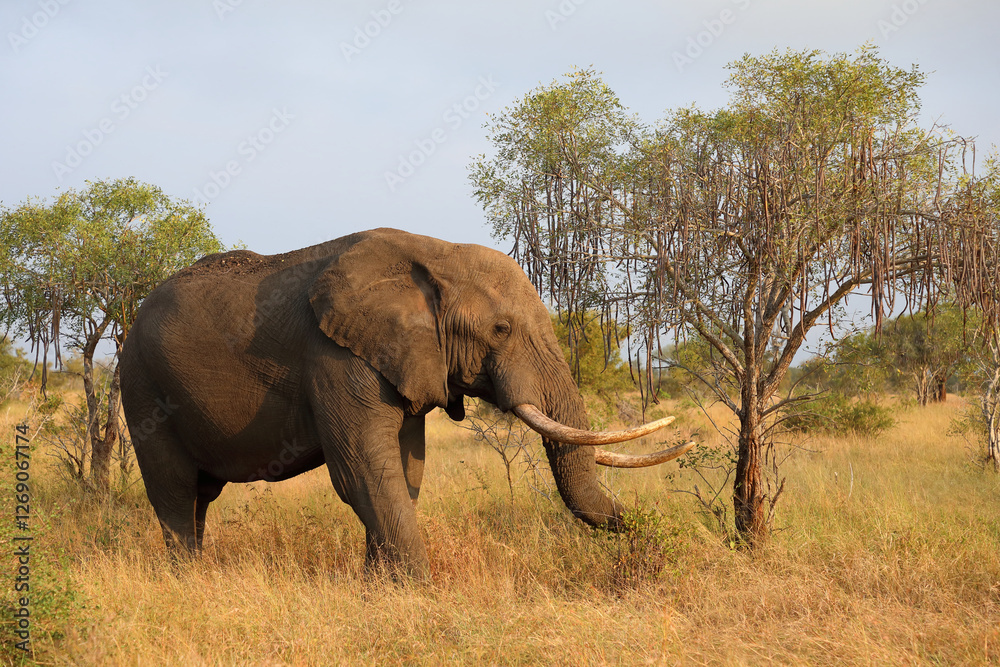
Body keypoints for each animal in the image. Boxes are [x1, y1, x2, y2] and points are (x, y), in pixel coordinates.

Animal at [119, 228, 692, 576]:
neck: (437, 253)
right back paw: (188, 581)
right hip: (142, 388)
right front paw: (415, 590)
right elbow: (363, 471)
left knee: (199, 495)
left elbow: (405, 468)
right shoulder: (334, 355)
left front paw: (379, 588)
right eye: (501, 330)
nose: (658, 548)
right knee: (173, 491)